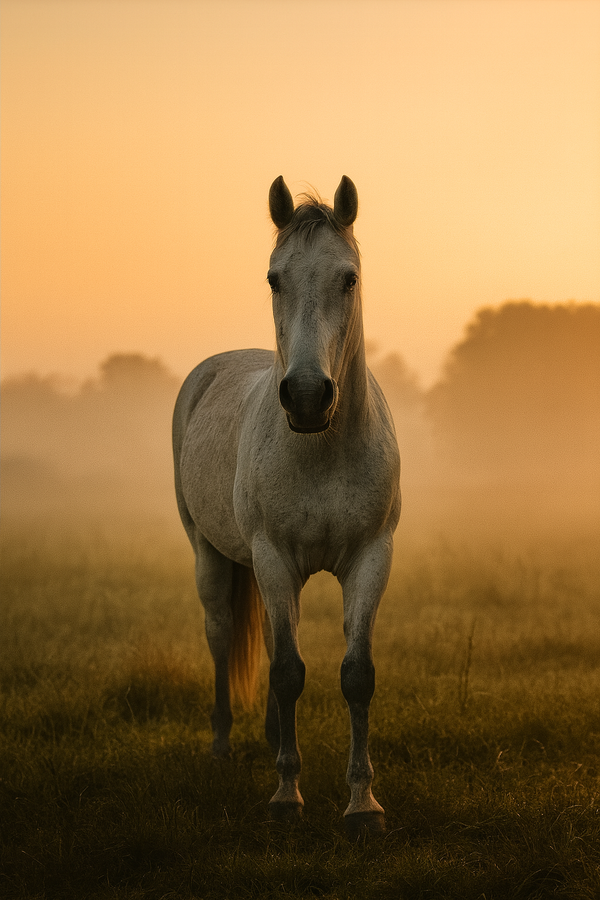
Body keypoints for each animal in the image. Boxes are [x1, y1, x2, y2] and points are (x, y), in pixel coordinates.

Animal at [173, 176, 401, 835]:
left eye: (348, 278)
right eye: (275, 278)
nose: (304, 396)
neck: (320, 448)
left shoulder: (372, 559)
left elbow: (354, 676)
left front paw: (362, 806)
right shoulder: (272, 557)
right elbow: (287, 672)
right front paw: (286, 798)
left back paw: (275, 738)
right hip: (211, 554)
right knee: (223, 635)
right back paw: (223, 746)